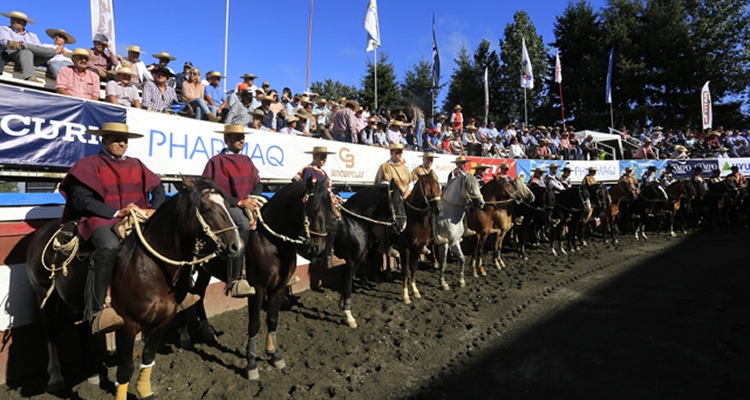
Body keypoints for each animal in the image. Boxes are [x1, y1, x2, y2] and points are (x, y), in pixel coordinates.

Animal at [25, 178, 244, 396]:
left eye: (227, 205)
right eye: (207, 209)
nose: (237, 246)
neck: (151, 268)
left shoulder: (162, 321)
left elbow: (148, 358)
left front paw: (145, 392)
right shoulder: (127, 324)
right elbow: (125, 369)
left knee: (82, 330)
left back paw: (92, 373)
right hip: (44, 293)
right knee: (51, 332)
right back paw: (55, 377)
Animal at [334, 184, 406, 328]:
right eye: (396, 201)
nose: (403, 225)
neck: (352, 222)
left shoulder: (358, 258)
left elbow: (347, 282)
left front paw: (342, 304)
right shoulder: (350, 260)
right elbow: (348, 285)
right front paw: (348, 316)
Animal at [402, 174, 444, 304]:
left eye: (438, 186)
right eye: (428, 188)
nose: (439, 210)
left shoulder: (418, 247)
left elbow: (414, 267)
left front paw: (415, 290)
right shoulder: (404, 247)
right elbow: (406, 270)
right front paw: (405, 296)